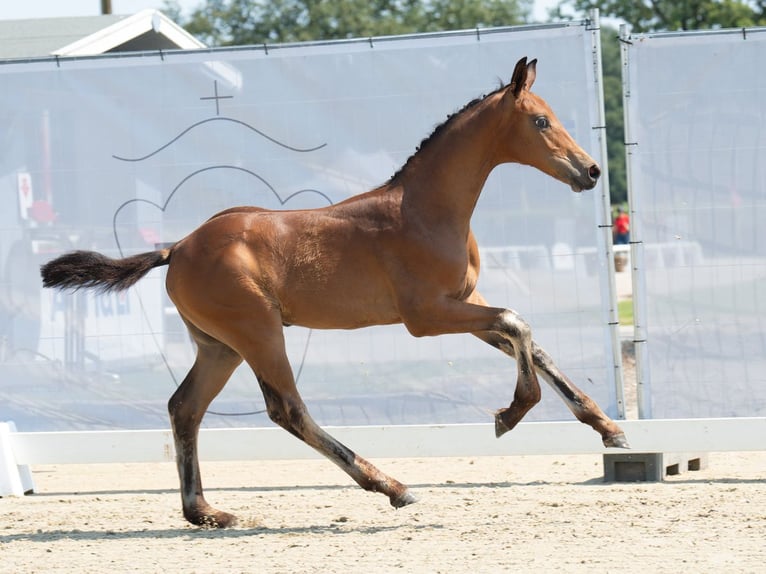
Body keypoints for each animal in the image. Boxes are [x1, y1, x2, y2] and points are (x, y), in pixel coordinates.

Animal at [40, 58, 632, 532]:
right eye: (541, 120)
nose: (590, 171)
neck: (424, 211)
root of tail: (179, 246)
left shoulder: (463, 305)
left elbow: (530, 340)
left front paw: (608, 429)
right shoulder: (428, 315)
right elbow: (517, 322)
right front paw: (510, 414)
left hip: (219, 346)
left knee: (185, 408)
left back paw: (206, 512)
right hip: (258, 334)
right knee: (287, 409)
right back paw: (392, 486)